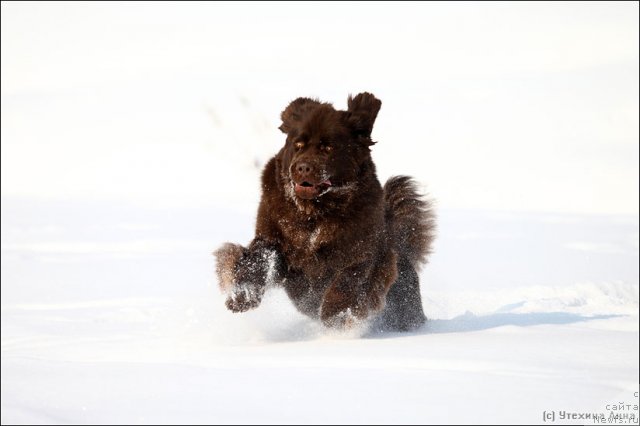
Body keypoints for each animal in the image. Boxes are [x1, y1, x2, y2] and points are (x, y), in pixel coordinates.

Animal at [215, 92, 436, 332]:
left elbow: (347, 280)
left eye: (328, 148)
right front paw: (241, 297)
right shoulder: (272, 236)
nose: (303, 167)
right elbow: (256, 260)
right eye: (298, 144)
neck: (313, 213)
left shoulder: (364, 252)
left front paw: (336, 317)